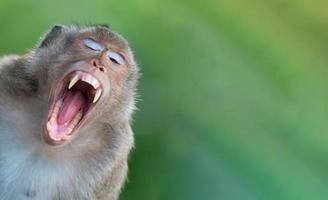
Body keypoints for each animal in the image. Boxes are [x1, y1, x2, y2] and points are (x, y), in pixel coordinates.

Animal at [0, 24, 140, 199]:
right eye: (91, 46)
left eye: (114, 60)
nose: (98, 65)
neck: (43, 143)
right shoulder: (7, 78)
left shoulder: (113, 152)